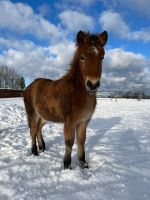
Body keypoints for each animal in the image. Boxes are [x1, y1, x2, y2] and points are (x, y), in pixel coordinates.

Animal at [23, 30, 108, 170]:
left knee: (39, 128)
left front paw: (83, 163)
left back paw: (42, 147)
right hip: (32, 114)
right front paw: (67, 165)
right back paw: (35, 152)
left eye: (102, 58)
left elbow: (81, 140)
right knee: (33, 130)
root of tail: (30, 86)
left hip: (44, 116)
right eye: (82, 57)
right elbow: (69, 142)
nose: (93, 84)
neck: (78, 93)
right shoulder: (70, 121)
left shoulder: (84, 121)